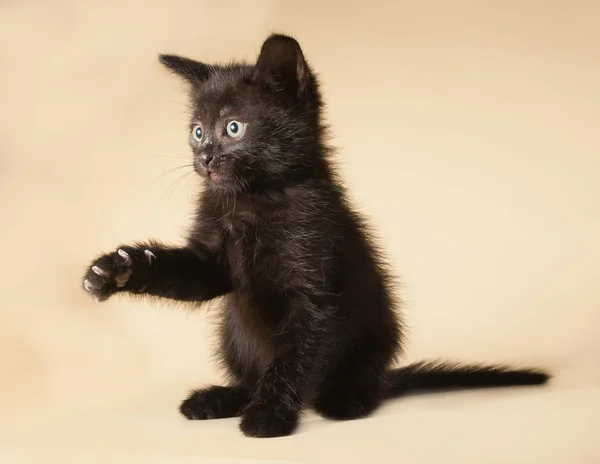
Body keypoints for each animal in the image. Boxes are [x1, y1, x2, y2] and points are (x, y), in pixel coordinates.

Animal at [82, 34, 552, 436]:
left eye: (233, 128)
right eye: (197, 131)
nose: (205, 158)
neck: (254, 199)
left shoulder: (311, 284)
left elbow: (291, 356)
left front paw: (270, 416)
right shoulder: (210, 260)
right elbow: (187, 276)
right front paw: (116, 270)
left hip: (376, 333)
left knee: (361, 378)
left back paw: (345, 398)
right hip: (232, 329)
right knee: (250, 372)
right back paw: (221, 398)